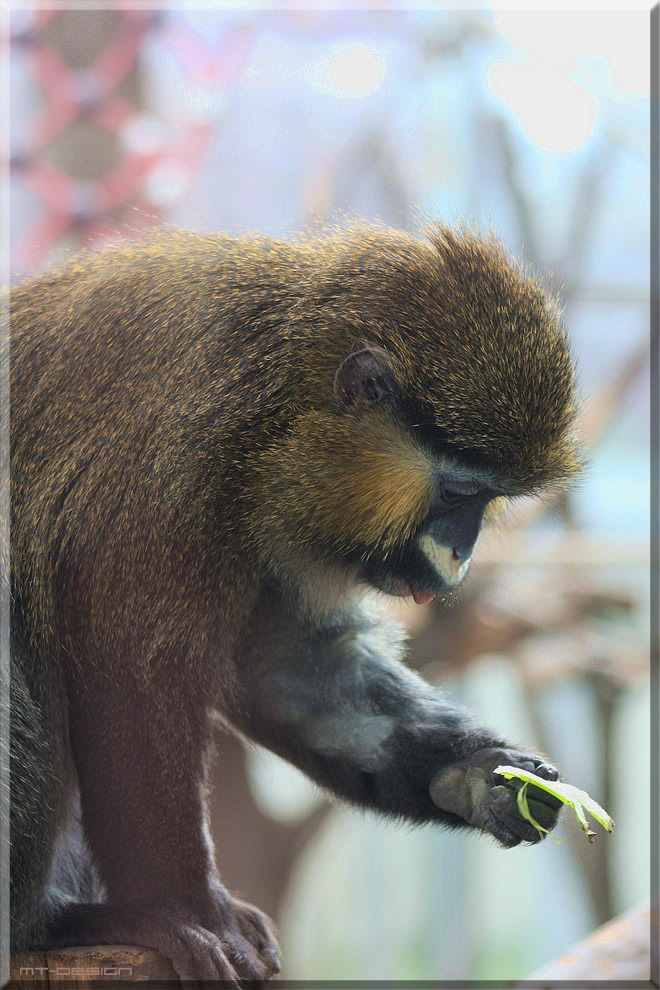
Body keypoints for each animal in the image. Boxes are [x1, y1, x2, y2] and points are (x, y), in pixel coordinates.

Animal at [5, 221, 584, 988]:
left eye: (486, 499)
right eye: (459, 492)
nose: (462, 554)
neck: (274, 400)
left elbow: (294, 673)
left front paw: (477, 776)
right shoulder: (163, 484)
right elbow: (128, 690)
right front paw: (180, 912)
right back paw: (57, 923)